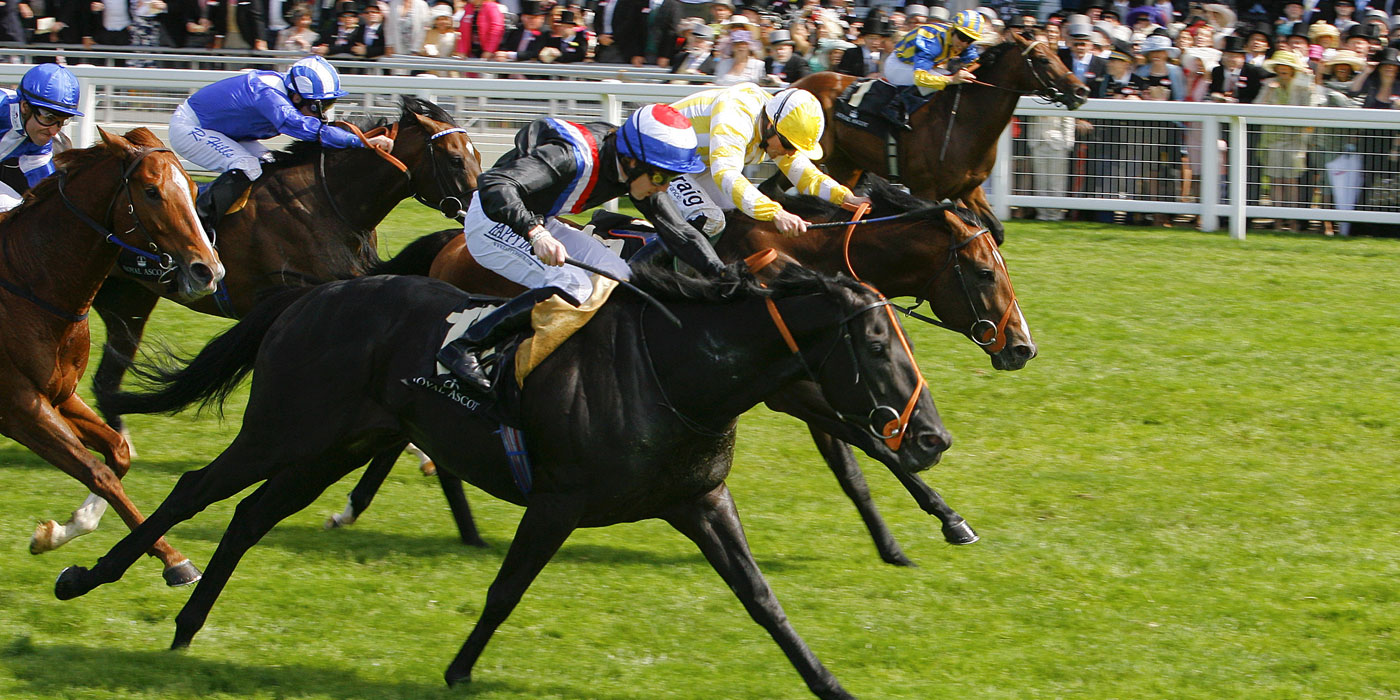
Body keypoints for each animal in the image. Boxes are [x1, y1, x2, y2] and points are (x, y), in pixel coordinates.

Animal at [0, 127, 221, 585]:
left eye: (194, 189)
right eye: (152, 191)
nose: (208, 271)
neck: (29, 282)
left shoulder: (60, 394)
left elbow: (116, 453)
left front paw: (58, 531)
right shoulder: (19, 407)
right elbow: (98, 471)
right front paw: (176, 561)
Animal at [54, 263, 952, 700]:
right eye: (878, 345)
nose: (933, 437)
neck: (675, 368)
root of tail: (317, 295)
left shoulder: (700, 500)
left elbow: (764, 601)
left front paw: (828, 682)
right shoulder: (558, 501)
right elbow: (505, 590)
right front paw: (458, 673)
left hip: (337, 445)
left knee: (247, 517)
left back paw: (187, 628)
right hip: (285, 428)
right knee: (196, 490)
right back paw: (90, 576)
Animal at [88, 95, 481, 448]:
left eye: (477, 156)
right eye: (456, 159)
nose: (479, 209)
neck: (325, 201)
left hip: (128, 302)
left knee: (107, 377)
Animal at [795, 28, 1086, 242]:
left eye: (1058, 54)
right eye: (1044, 60)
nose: (1081, 91)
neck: (962, 122)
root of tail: (799, 83)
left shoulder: (970, 188)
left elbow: (996, 230)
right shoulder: (925, 190)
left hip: (846, 164)